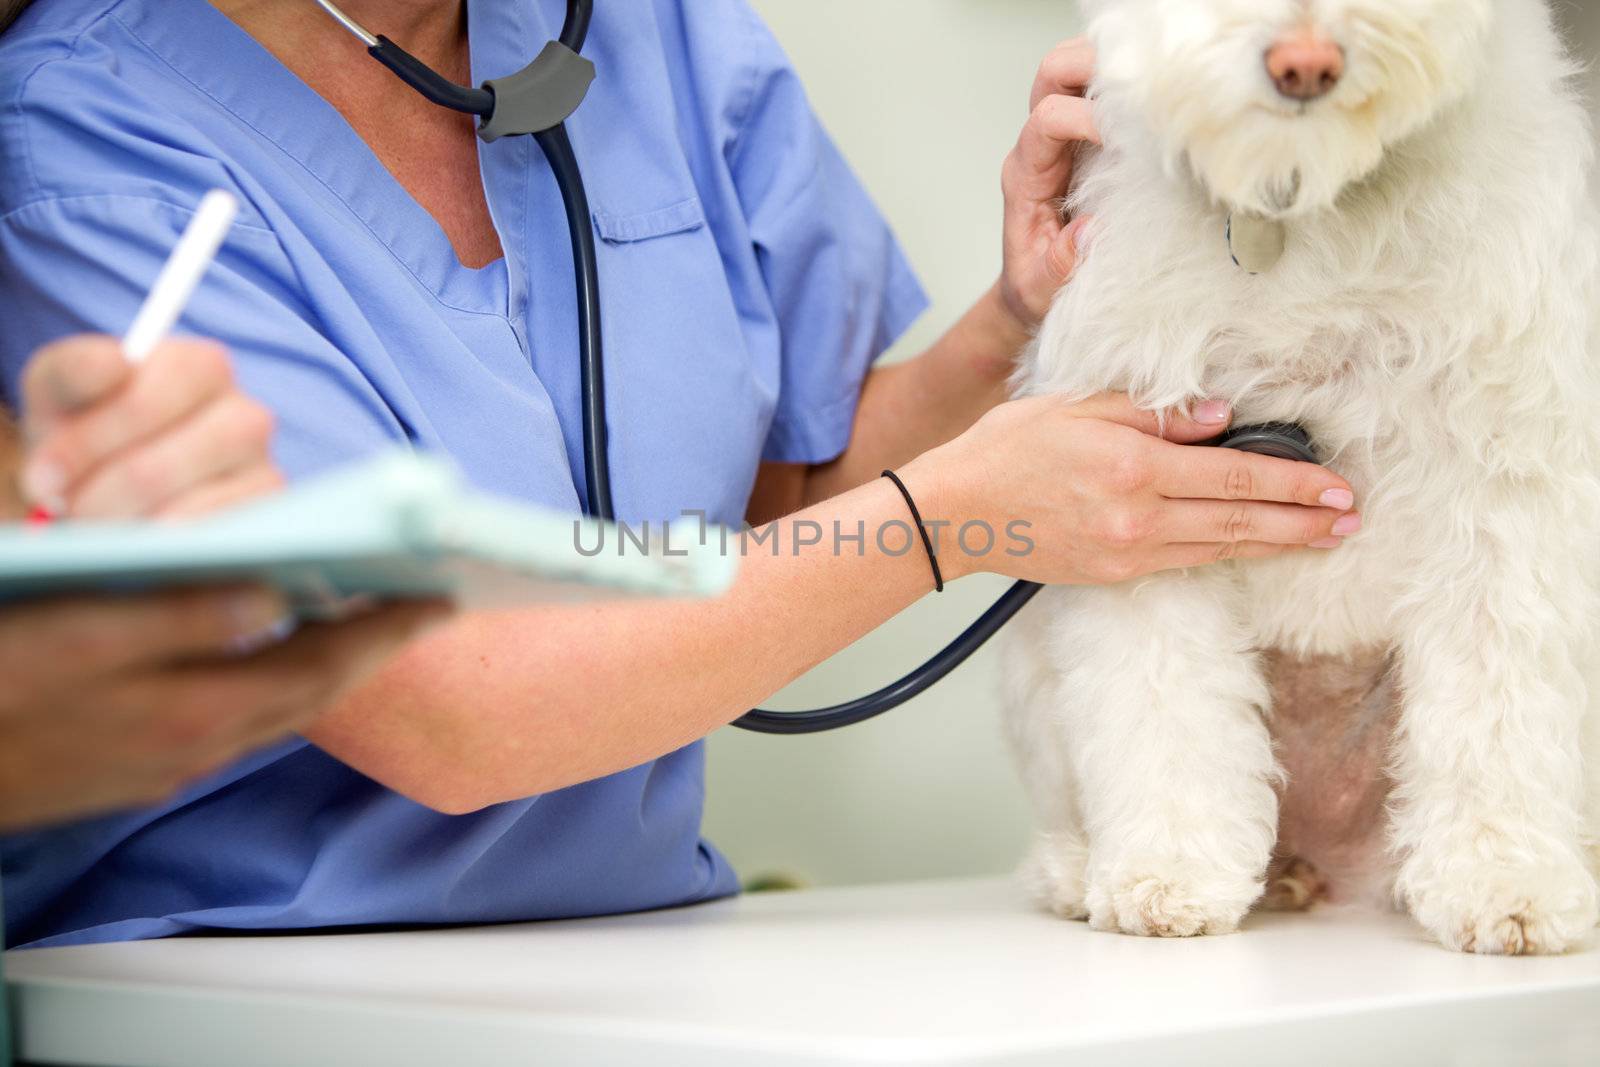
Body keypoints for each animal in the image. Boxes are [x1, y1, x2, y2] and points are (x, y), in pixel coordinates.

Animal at [998, 0, 1600, 953]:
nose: (1305, 64)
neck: (1307, 199)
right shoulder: (1146, 489)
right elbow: (1163, 707)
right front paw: (1169, 872)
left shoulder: (1505, 483)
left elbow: (1496, 712)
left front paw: (1508, 879)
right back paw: (1082, 869)